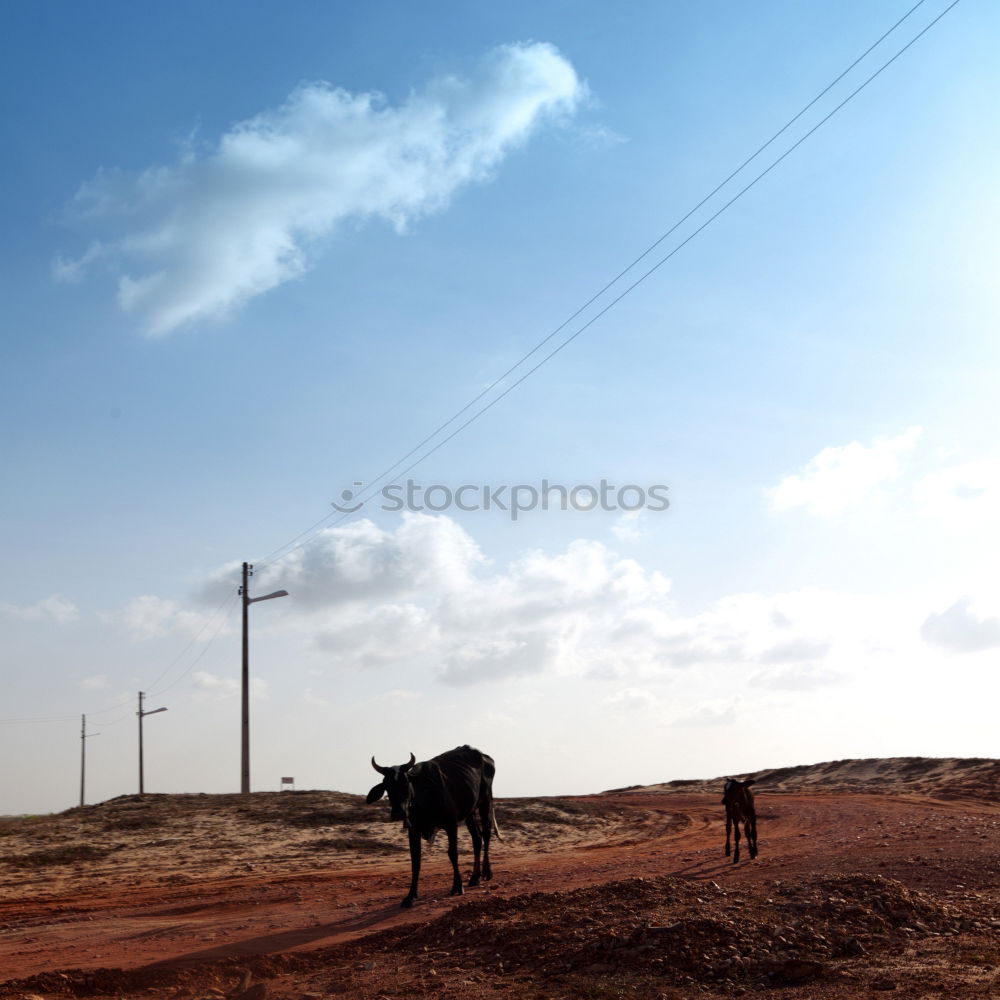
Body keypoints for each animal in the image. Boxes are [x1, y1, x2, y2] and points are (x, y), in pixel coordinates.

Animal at [366, 748, 498, 912]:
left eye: (406, 782)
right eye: (386, 785)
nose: (398, 813)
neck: (425, 797)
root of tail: (484, 756)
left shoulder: (451, 824)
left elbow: (453, 854)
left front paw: (457, 886)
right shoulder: (413, 830)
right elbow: (415, 861)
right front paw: (410, 896)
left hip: (485, 802)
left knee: (486, 834)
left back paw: (487, 872)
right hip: (470, 812)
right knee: (477, 839)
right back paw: (475, 877)